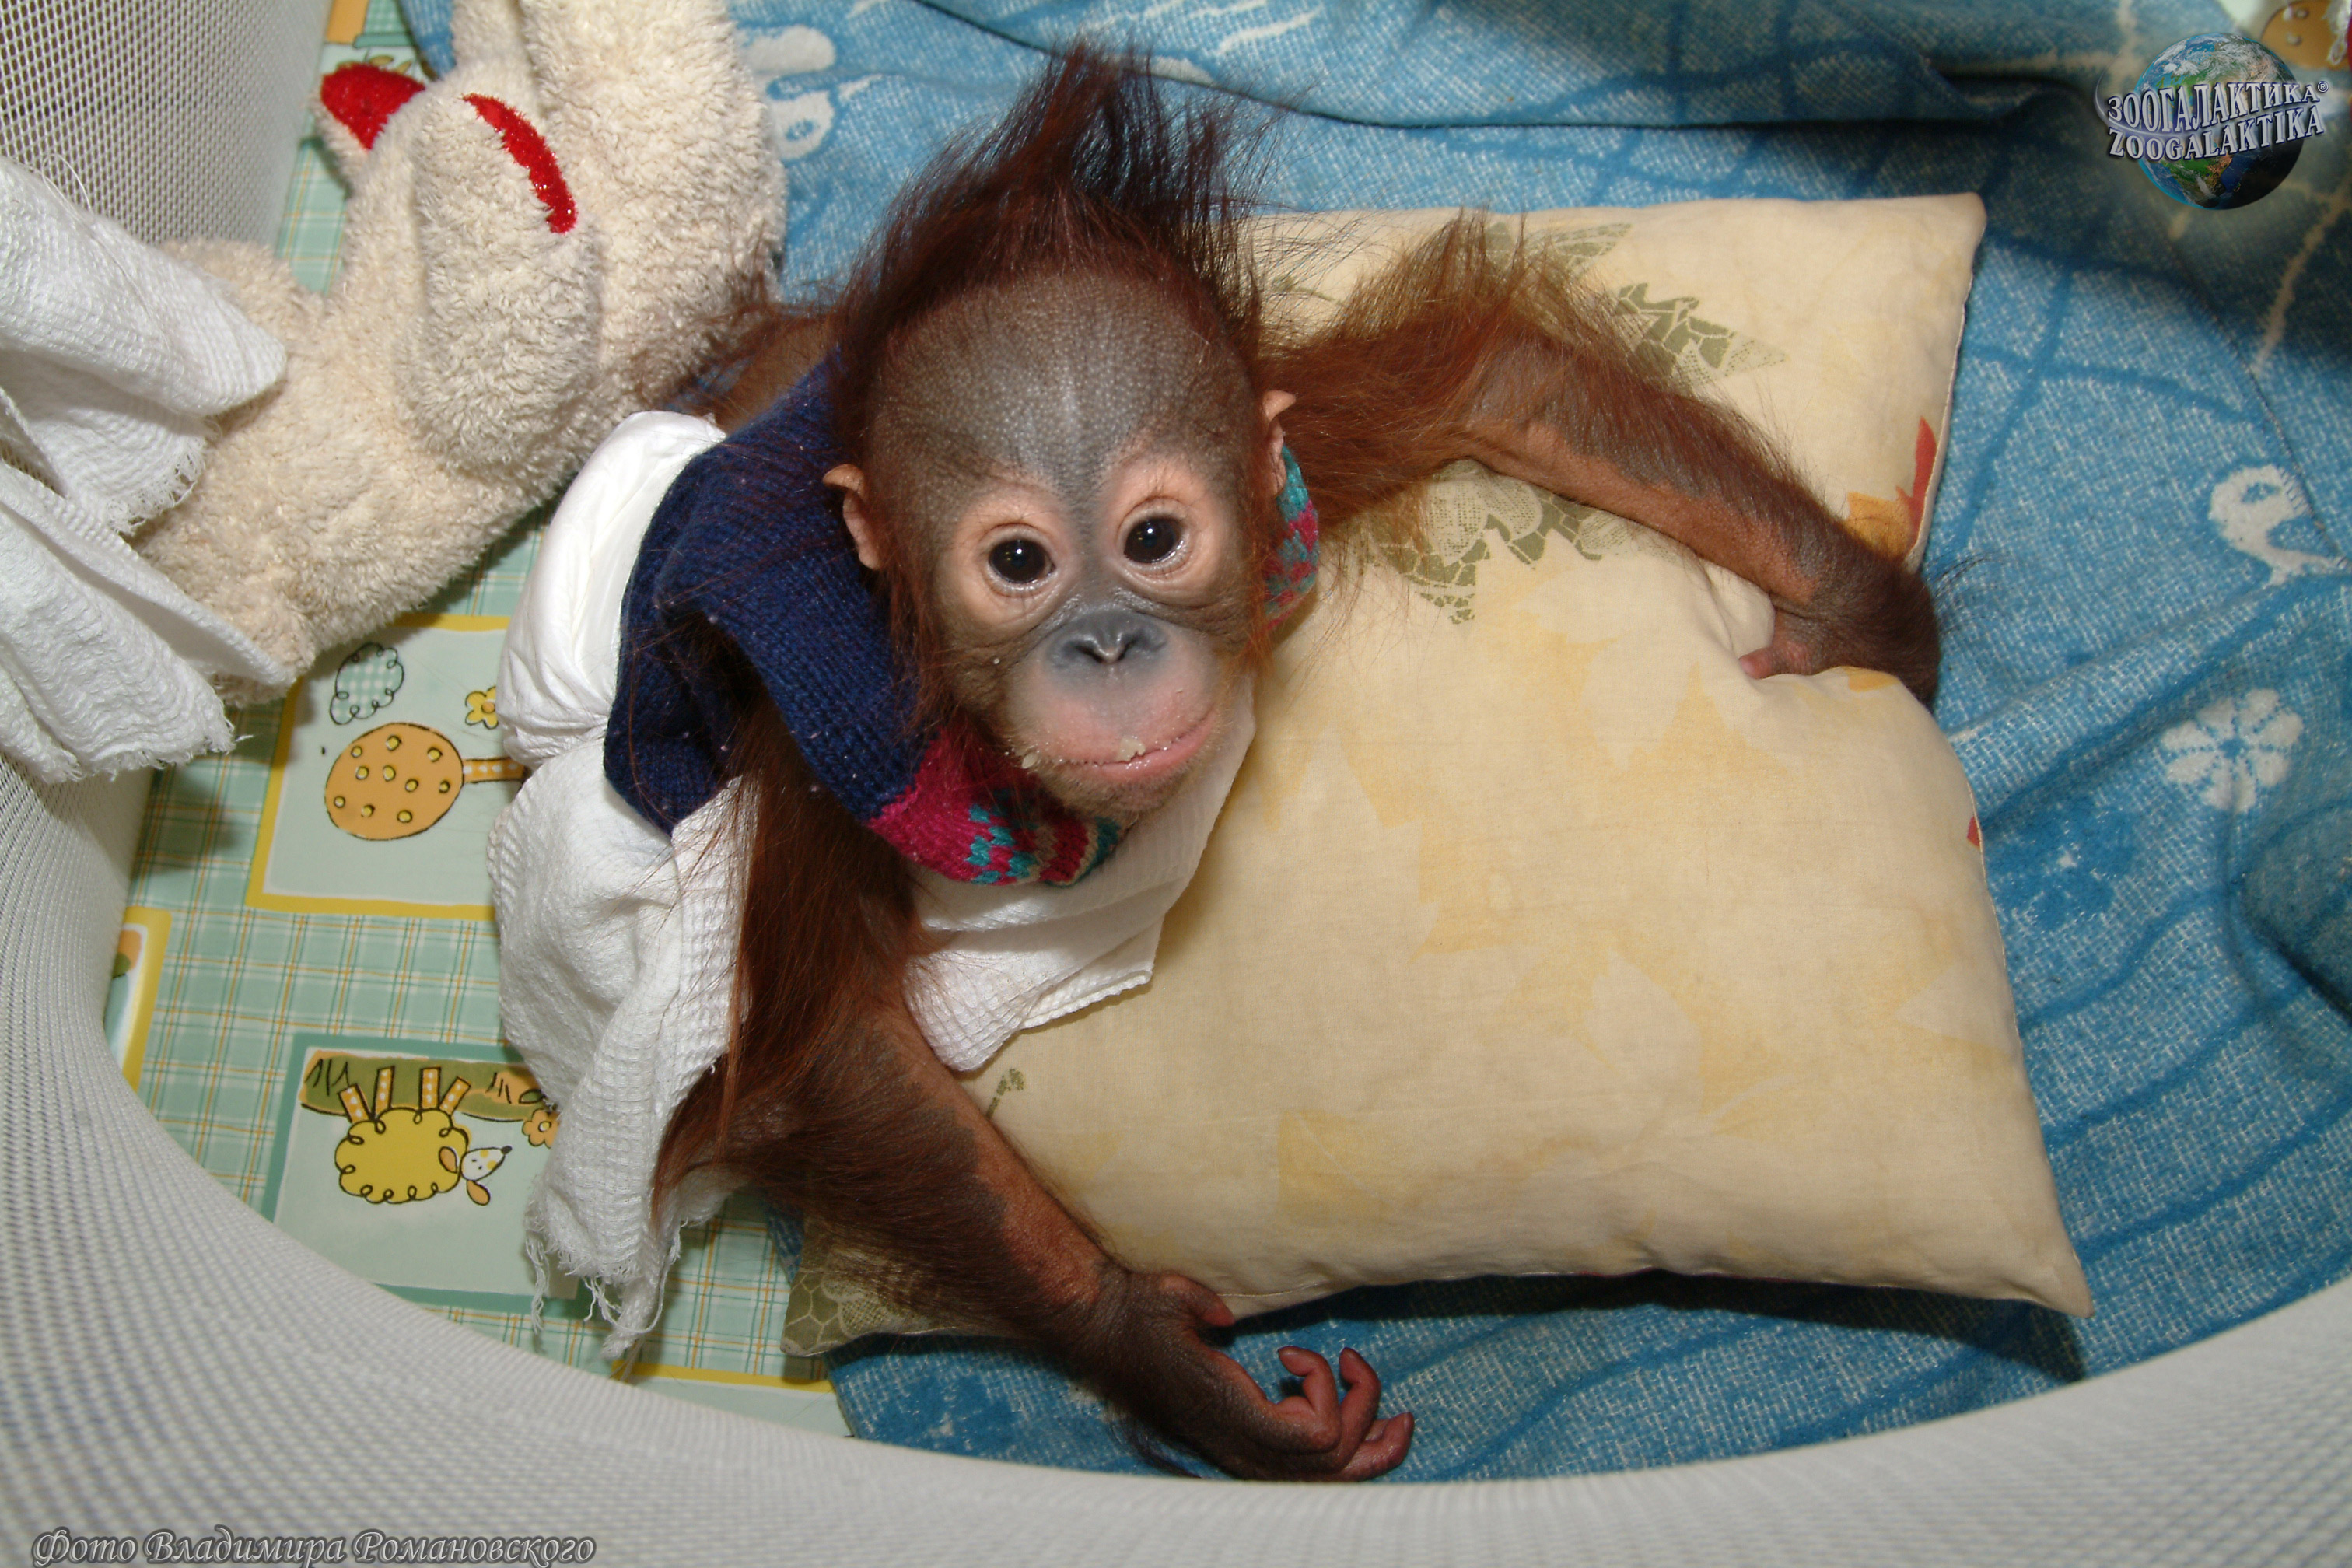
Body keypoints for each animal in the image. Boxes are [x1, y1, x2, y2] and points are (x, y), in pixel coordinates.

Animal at [594, 49, 1938, 1481]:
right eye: (1015, 562)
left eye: (1154, 536)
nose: (1106, 645)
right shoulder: (822, 742)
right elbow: (829, 1047)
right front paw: (1175, 1364)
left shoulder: (1282, 455)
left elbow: (1498, 385)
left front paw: (1856, 613)